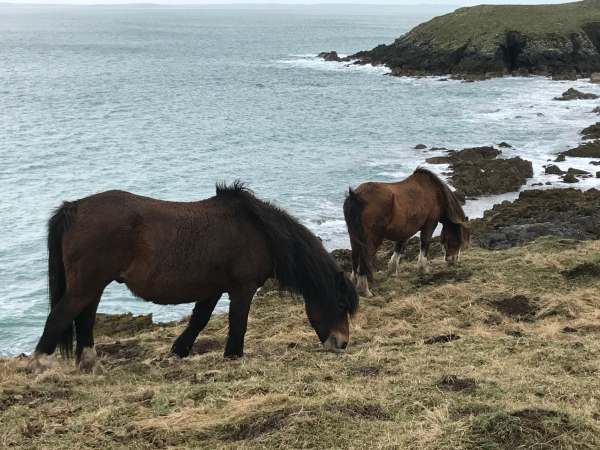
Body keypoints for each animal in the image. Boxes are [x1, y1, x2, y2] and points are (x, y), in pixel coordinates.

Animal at [29, 183, 356, 372]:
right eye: (341, 305)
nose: (342, 344)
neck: (259, 231)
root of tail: (74, 208)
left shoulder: (212, 289)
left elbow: (199, 320)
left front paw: (178, 352)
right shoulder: (242, 288)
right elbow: (238, 322)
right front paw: (233, 356)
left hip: (92, 286)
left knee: (84, 319)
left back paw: (90, 365)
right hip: (87, 285)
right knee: (60, 316)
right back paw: (43, 364)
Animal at [342, 167, 468, 298]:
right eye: (458, 239)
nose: (453, 260)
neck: (435, 193)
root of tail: (356, 196)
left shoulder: (404, 231)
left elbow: (399, 248)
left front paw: (392, 271)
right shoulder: (429, 225)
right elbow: (425, 244)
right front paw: (423, 269)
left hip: (354, 237)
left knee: (355, 257)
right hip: (372, 240)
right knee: (363, 262)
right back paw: (365, 290)